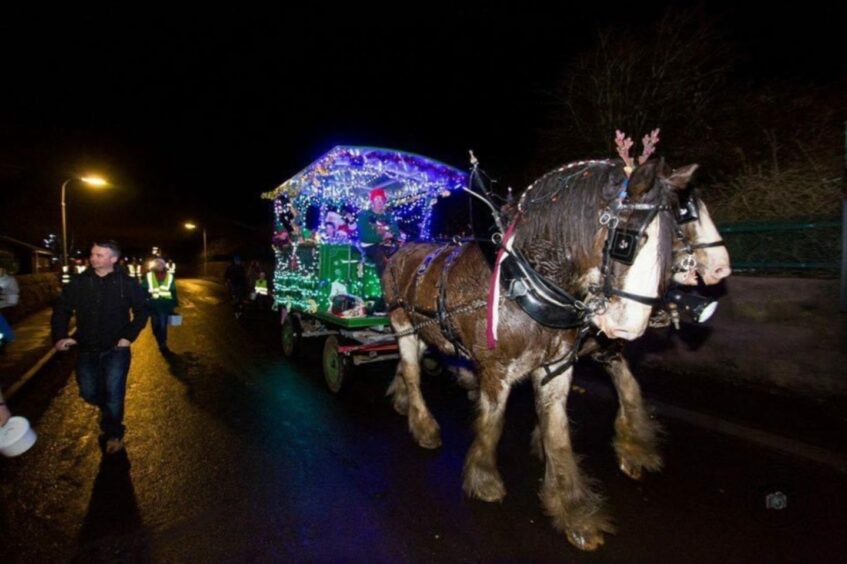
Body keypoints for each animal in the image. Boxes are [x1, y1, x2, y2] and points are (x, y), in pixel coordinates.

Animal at [382, 159, 696, 552]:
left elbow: (560, 430)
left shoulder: (558, 366)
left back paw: (400, 399)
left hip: (424, 331)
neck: (525, 285)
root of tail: (398, 250)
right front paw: (484, 478)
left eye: (673, 241)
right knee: (412, 371)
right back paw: (423, 424)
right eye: (625, 242)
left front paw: (574, 509)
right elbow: (493, 422)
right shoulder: (496, 369)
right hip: (401, 323)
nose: (630, 326)